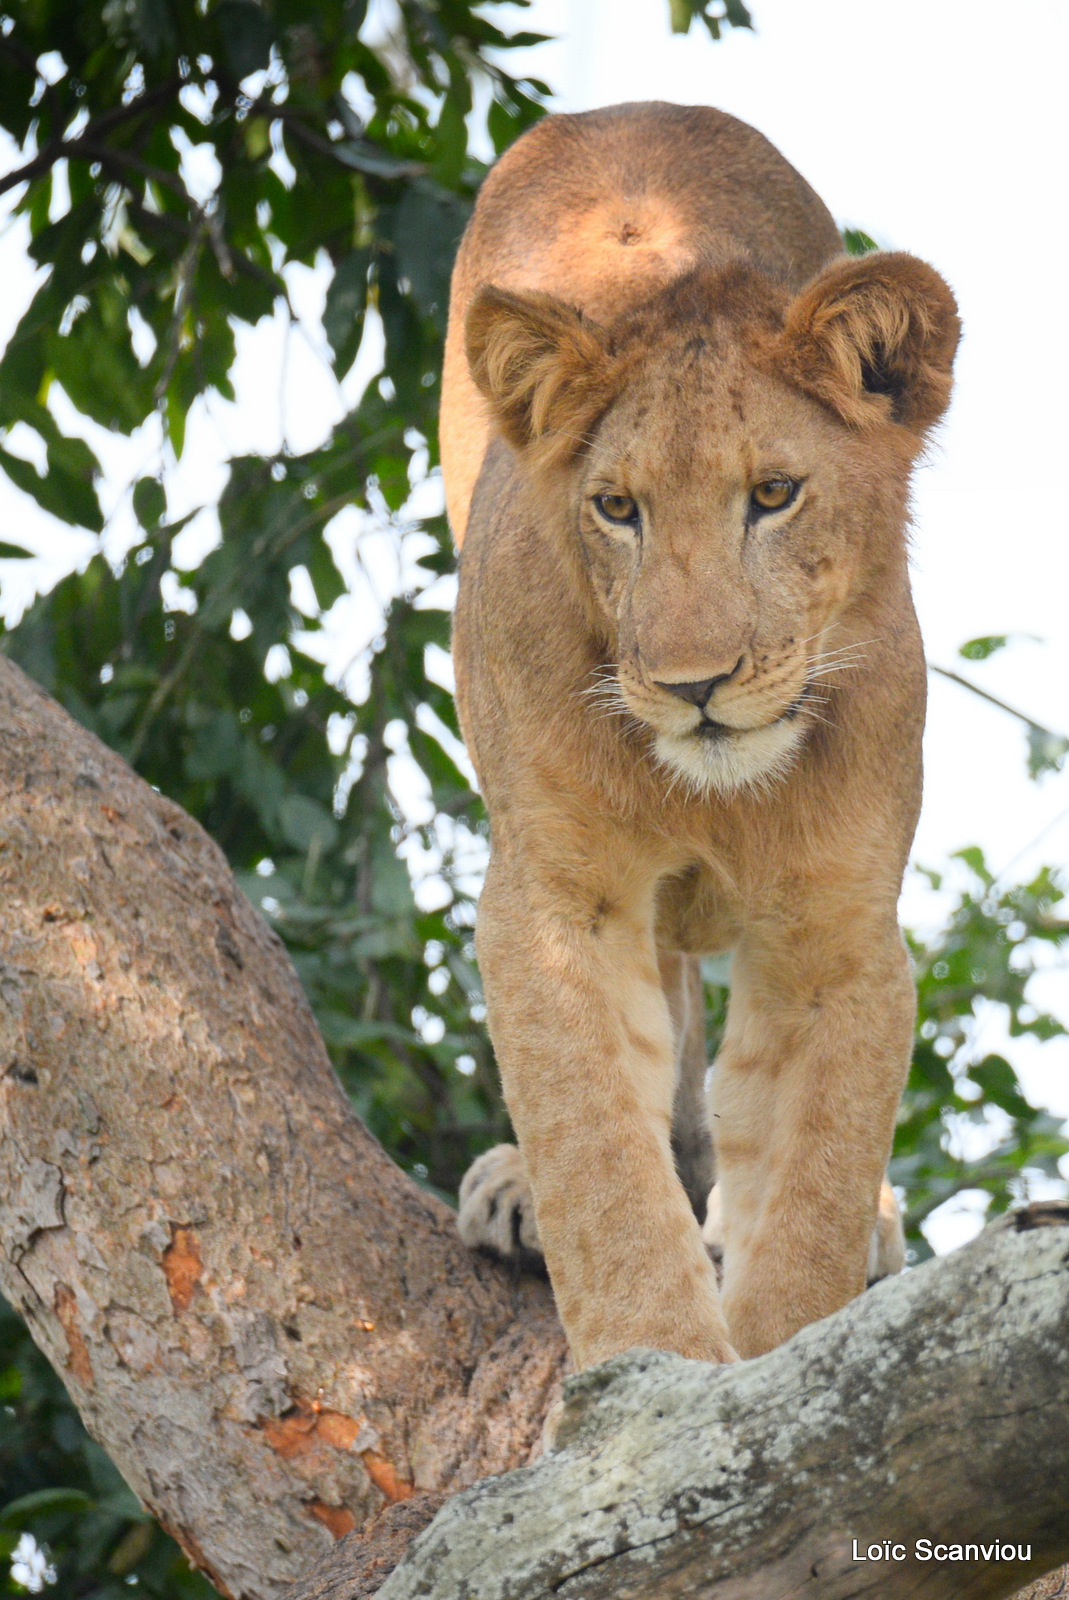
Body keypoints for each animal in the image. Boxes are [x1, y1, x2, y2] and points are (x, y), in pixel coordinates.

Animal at [438, 106, 953, 1369]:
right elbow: (601, 1166)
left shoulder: (837, 928)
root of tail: (623, 112)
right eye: (616, 508)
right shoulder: (558, 897)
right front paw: (644, 1364)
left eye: (772, 495)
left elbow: (809, 1194)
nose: (694, 684)